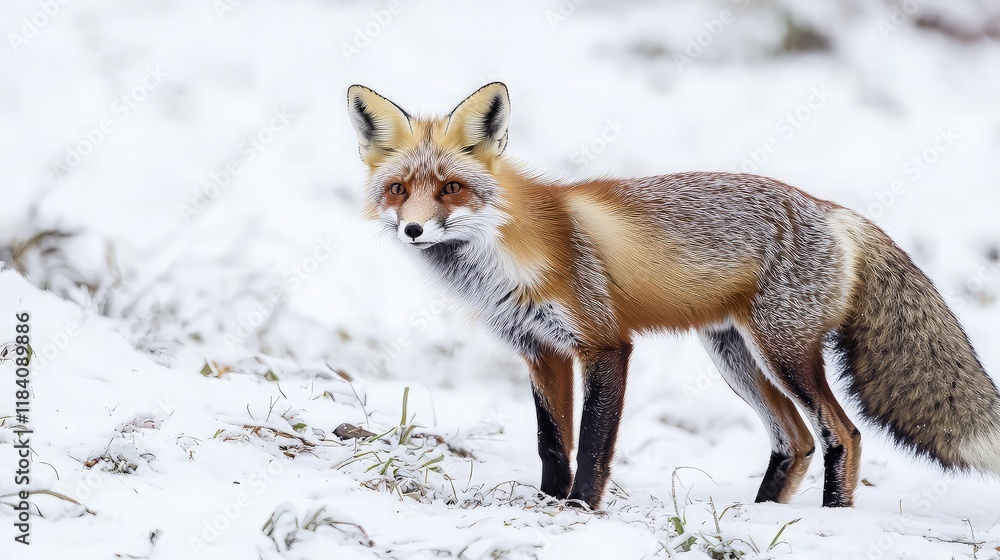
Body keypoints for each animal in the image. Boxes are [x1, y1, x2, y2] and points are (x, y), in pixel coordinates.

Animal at [346, 82, 1000, 510]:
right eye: (399, 189)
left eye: (451, 188)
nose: (413, 229)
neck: (506, 257)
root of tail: (835, 211)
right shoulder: (541, 351)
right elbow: (552, 446)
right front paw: (547, 506)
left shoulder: (605, 343)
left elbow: (592, 446)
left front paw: (579, 513)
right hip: (735, 355)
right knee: (796, 440)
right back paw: (762, 516)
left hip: (783, 352)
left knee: (844, 433)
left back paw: (830, 523)